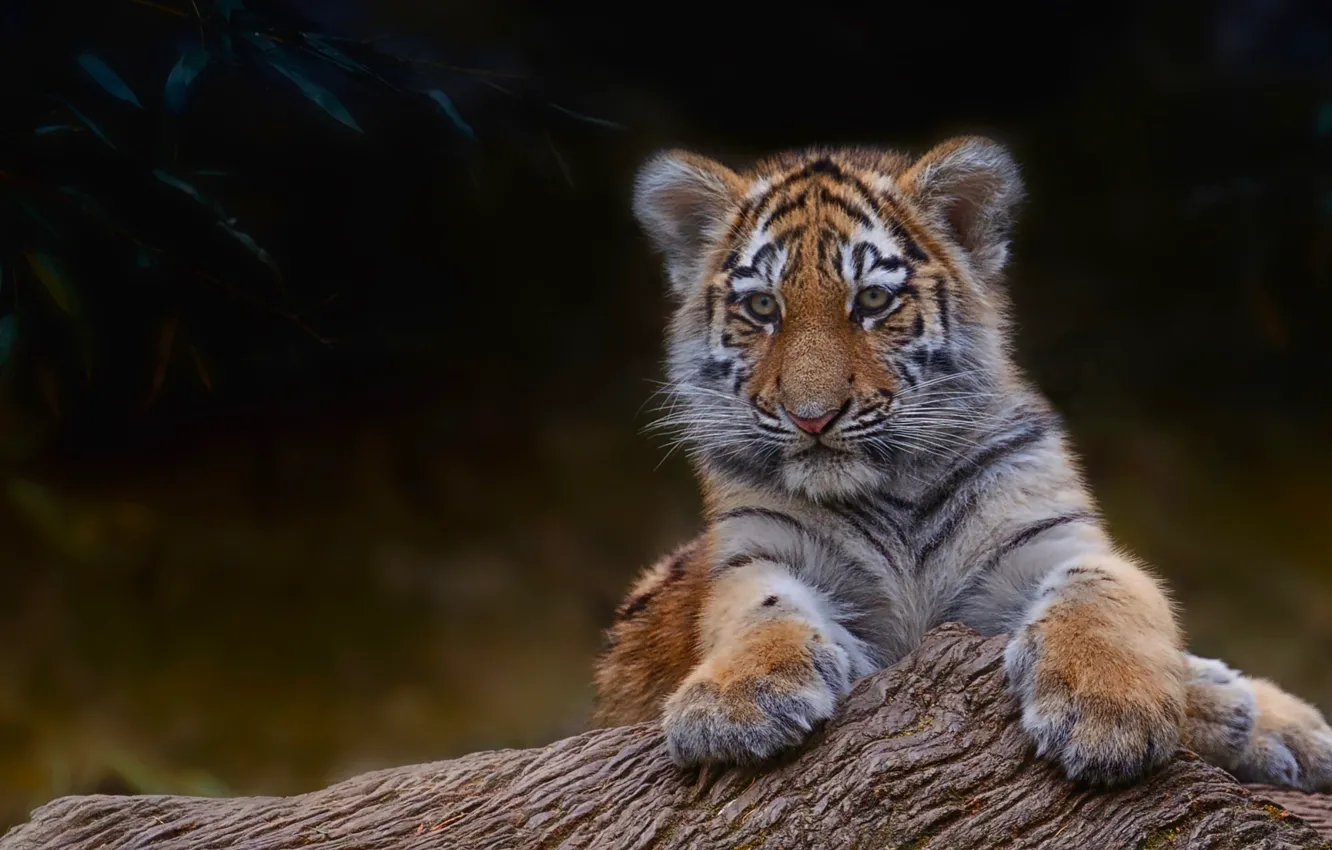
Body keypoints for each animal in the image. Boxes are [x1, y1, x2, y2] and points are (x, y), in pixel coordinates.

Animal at [591, 137, 1332, 790]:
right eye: (762, 307)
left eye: (873, 301)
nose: (812, 417)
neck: (894, 491)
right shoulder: (757, 554)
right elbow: (759, 610)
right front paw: (733, 708)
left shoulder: (1048, 535)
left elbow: (1103, 587)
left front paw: (1108, 710)